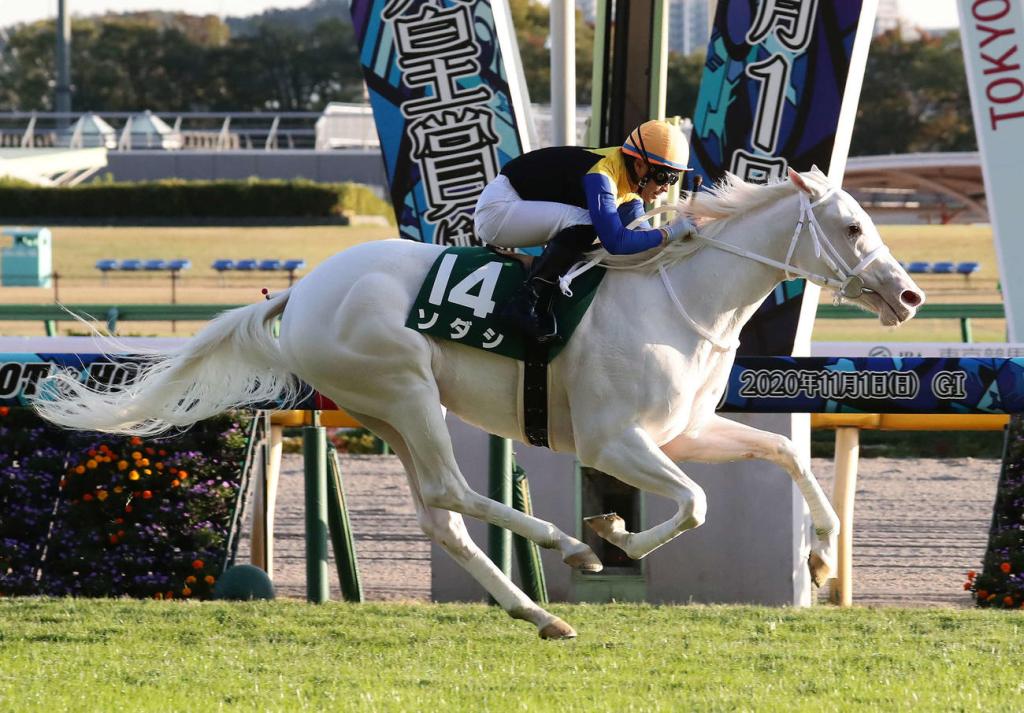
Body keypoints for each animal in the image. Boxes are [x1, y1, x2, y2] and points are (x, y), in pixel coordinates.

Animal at [34, 167, 924, 639]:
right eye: (852, 226)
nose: (911, 294)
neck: (679, 297)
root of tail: (302, 288)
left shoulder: (686, 428)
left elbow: (781, 453)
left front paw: (821, 558)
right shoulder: (613, 441)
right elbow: (697, 504)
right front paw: (609, 528)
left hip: (385, 411)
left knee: (442, 515)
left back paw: (539, 611)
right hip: (405, 389)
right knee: (454, 490)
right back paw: (566, 545)